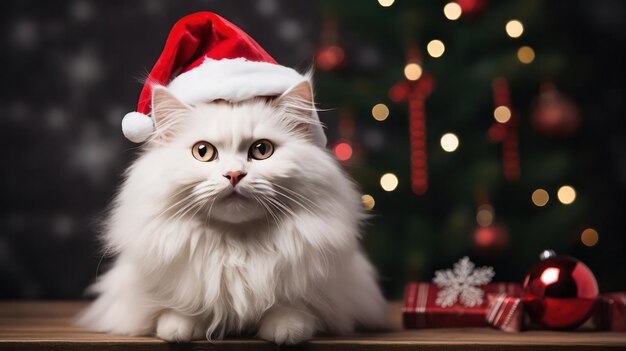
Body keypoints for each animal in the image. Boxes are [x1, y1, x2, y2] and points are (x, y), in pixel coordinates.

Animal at [78, 79, 388, 344]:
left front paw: (286, 330)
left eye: (262, 150)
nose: (234, 174)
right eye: (203, 152)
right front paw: (178, 329)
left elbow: (293, 308)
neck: (236, 244)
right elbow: (178, 307)